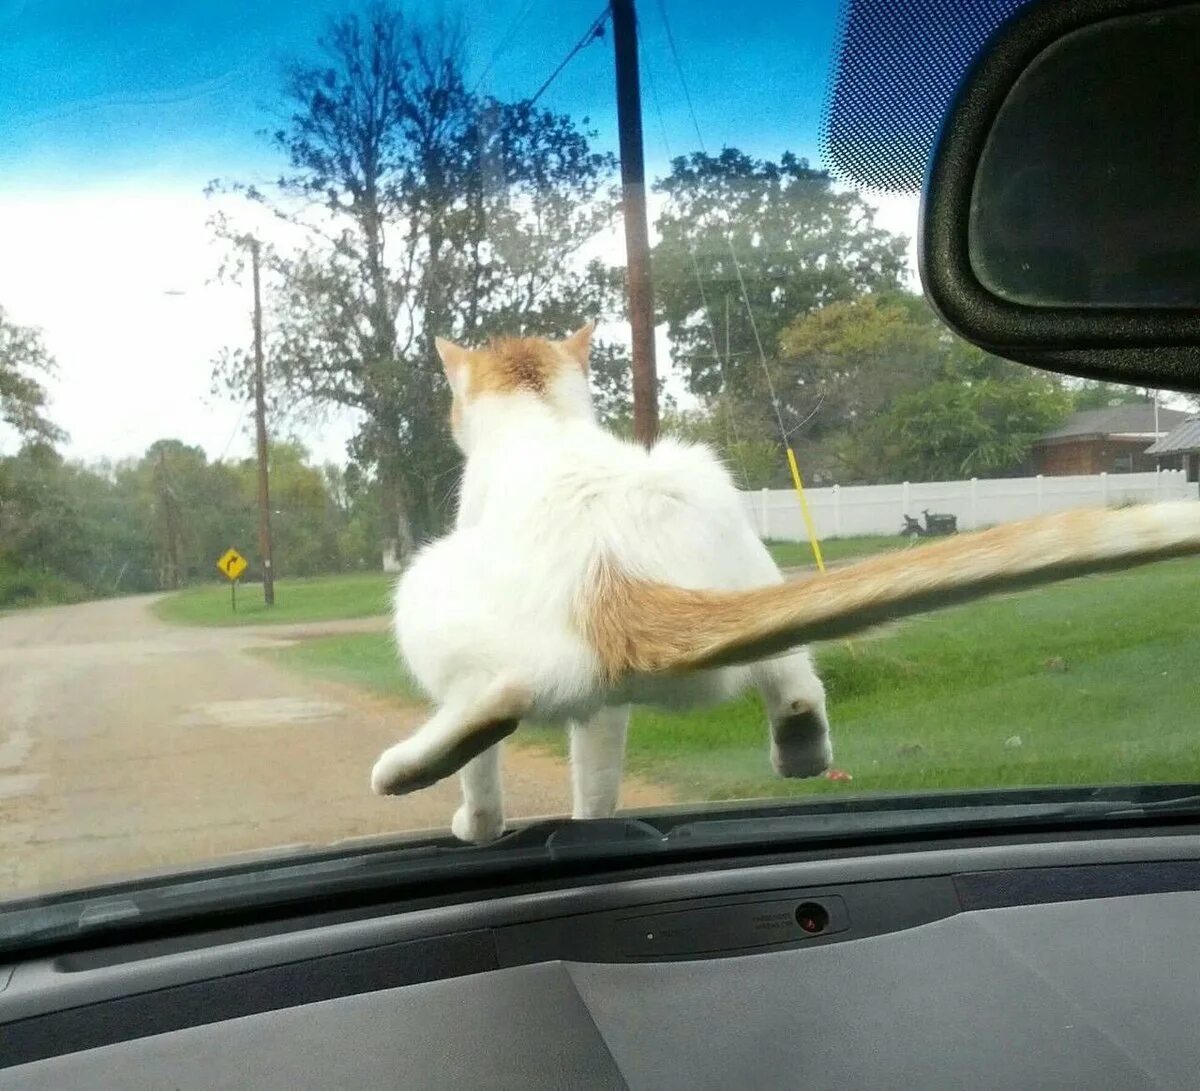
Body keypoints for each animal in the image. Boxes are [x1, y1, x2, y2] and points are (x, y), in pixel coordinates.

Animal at [372, 324, 1200, 844]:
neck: (545, 427)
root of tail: (617, 578)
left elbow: (510, 778)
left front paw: (481, 823)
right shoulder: (607, 713)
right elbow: (598, 778)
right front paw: (594, 820)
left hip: (425, 590)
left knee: (494, 701)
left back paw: (407, 769)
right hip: (728, 525)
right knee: (794, 675)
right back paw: (801, 746)